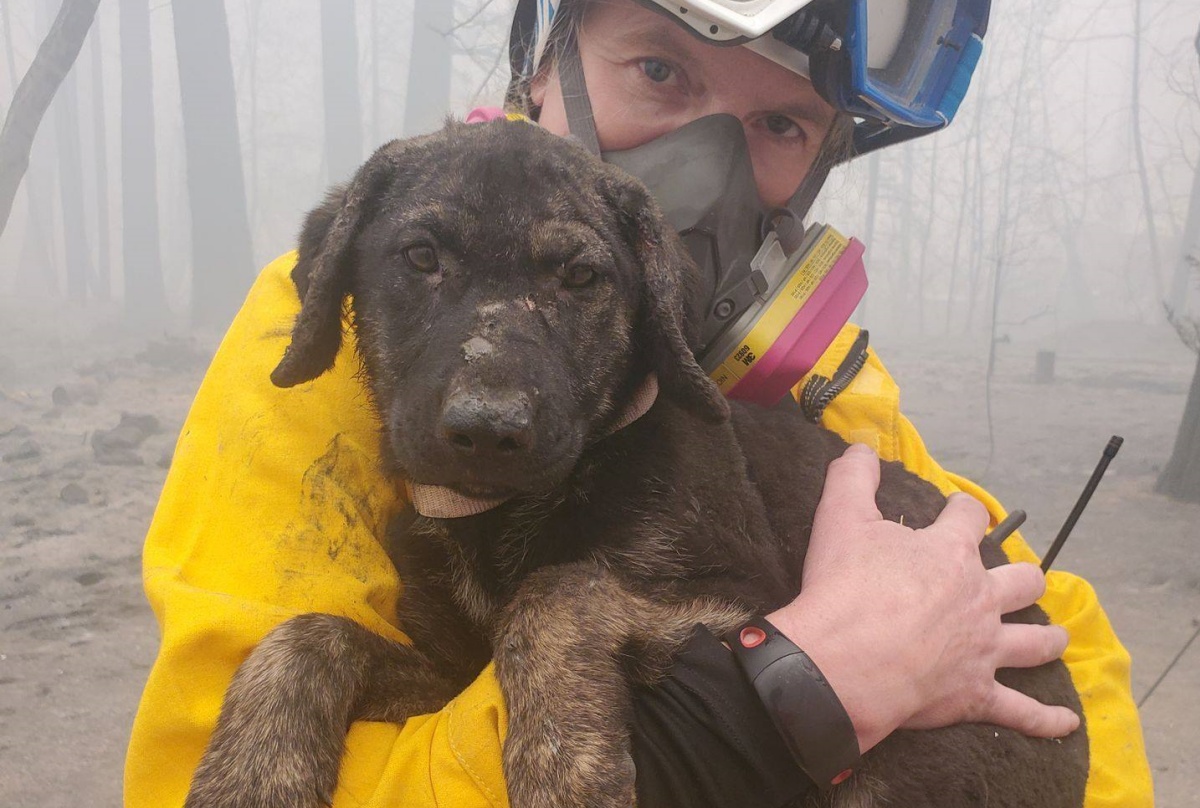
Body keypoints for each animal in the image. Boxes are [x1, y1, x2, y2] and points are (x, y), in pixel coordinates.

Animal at [184, 121, 1089, 806]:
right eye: (418, 257)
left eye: (583, 276)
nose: (488, 431)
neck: (499, 520)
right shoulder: (447, 675)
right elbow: (308, 634)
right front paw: (251, 777)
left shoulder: (741, 601)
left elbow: (554, 593)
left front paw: (566, 772)